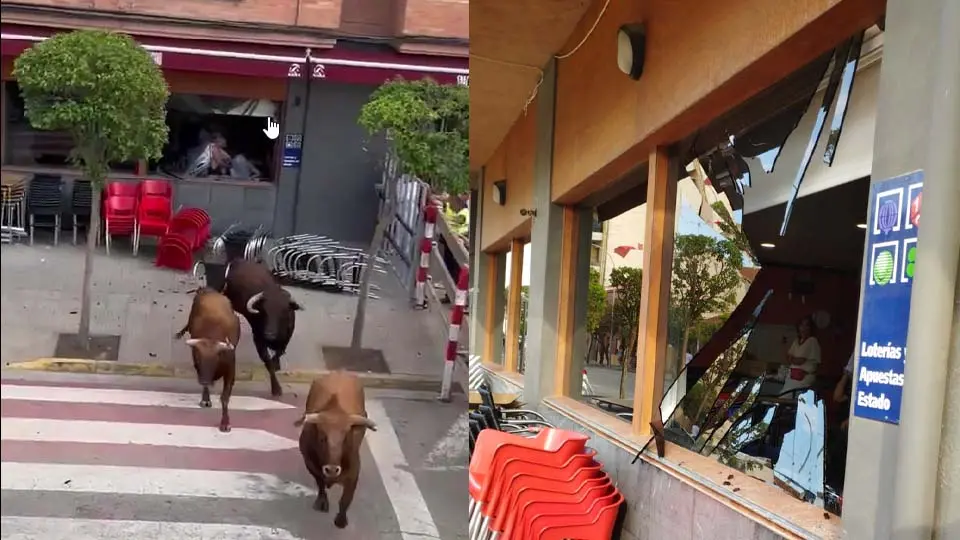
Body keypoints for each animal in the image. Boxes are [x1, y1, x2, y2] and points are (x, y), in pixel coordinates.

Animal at [222, 260, 304, 398]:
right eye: (264, 311)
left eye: (283, 311)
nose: (269, 334)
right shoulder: (258, 340)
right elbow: (268, 362)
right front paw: (276, 388)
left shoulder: (286, 339)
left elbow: (278, 354)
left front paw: (277, 365)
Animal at [294, 372, 376, 528]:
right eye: (322, 438)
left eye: (346, 438)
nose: (332, 469)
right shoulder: (311, 465)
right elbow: (320, 483)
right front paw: (322, 502)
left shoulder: (354, 474)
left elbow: (345, 500)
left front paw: (341, 520)